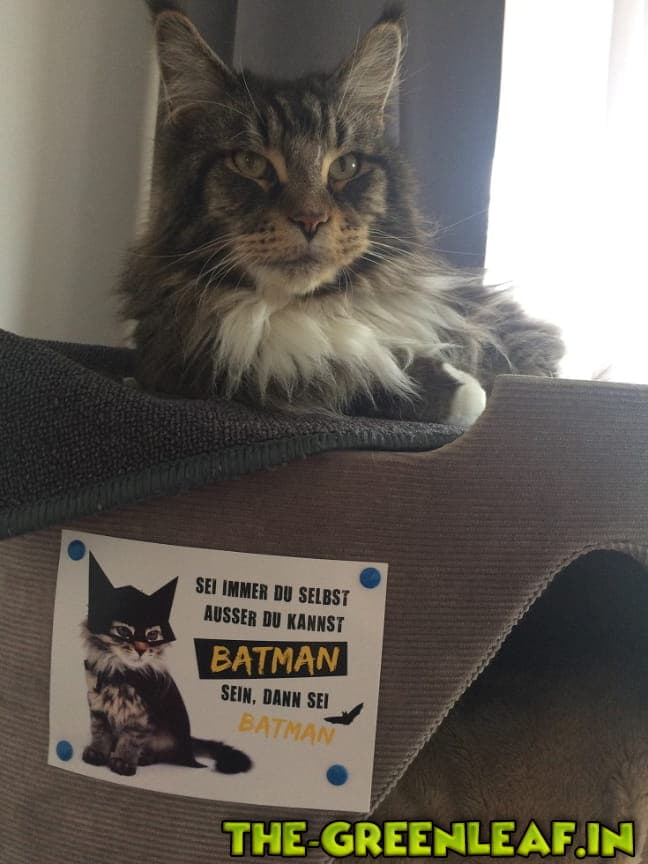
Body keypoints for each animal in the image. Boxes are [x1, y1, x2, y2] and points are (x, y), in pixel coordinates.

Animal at [82, 552, 252, 776]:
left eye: (152, 635)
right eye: (124, 632)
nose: (141, 649)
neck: (120, 673)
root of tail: (189, 741)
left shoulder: (141, 718)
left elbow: (130, 740)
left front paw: (123, 762)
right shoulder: (98, 707)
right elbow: (100, 733)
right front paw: (97, 753)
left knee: (163, 754)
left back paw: (144, 758)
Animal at [119, 6, 563, 425]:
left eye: (345, 167)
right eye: (250, 163)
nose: (310, 220)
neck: (312, 307)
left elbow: (528, 355)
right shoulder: (187, 362)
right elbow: (354, 375)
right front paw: (461, 390)